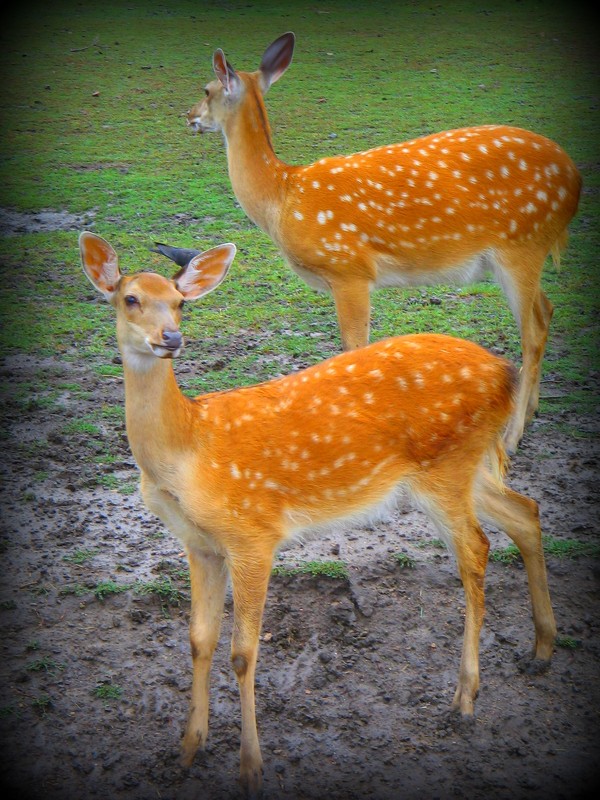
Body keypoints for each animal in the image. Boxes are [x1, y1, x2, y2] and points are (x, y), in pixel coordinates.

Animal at [79, 231, 556, 800]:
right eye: (130, 298)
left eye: (179, 302)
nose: (170, 337)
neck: (188, 453)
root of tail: (506, 374)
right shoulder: (199, 544)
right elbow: (198, 640)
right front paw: (188, 750)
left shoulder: (253, 533)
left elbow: (243, 652)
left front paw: (250, 768)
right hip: (463, 470)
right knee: (526, 511)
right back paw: (540, 649)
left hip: (446, 469)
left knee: (476, 550)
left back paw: (464, 698)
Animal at [186, 31, 580, 454]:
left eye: (207, 89)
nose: (188, 116)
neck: (283, 198)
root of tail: (576, 180)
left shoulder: (349, 269)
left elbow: (354, 349)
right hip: (521, 253)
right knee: (547, 309)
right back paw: (532, 408)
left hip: (521, 244)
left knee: (532, 330)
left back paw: (511, 437)